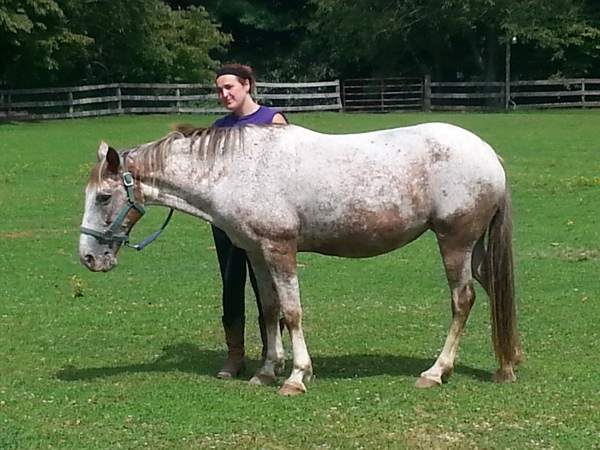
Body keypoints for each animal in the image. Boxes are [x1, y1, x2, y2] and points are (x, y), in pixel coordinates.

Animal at [78, 122, 522, 395]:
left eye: (103, 197)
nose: (88, 257)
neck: (237, 170)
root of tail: (489, 154)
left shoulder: (280, 248)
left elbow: (292, 312)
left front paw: (296, 376)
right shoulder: (257, 252)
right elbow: (270, 310)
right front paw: (265, 371)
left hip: (454, 242)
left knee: (463, 300)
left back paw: (436, 371)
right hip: (474, 248)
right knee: (494, 289)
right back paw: (507, 363)